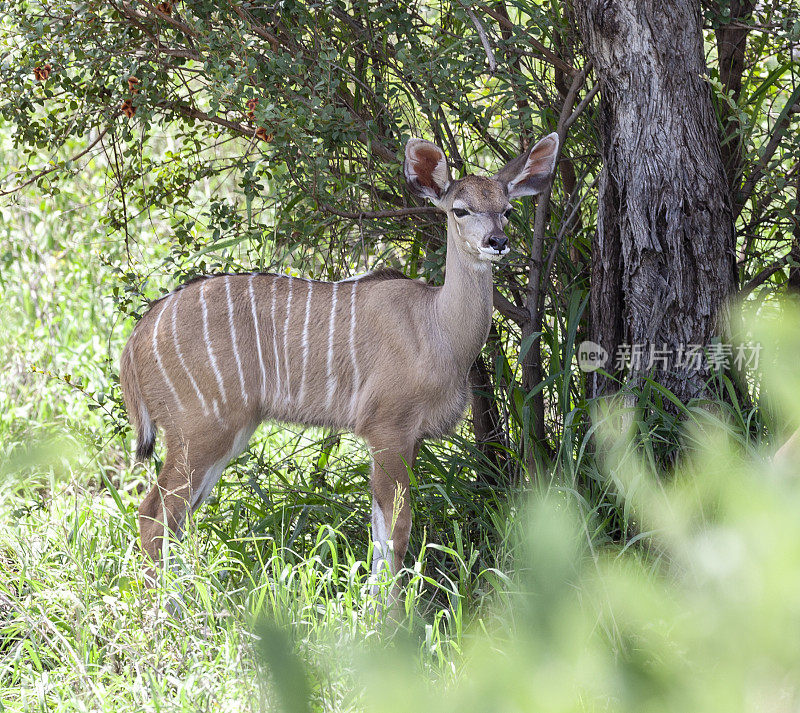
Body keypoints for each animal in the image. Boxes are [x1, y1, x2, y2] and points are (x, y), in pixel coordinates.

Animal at [122, 132, 560, 596]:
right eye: (460, 209)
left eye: (507, 209)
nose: (497, 241)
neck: (436, 325)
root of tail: (137, 337)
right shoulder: (387, 430)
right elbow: (397, 530)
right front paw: (388, 610)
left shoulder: (407, 438)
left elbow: (380, 531)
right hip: (201, 430)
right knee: (154, 517)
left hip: (225, 434)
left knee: (175, 518)